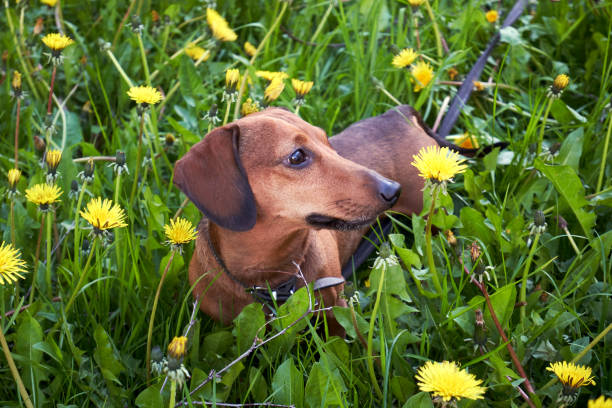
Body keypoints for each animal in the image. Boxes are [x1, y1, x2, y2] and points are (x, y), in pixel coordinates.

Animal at [172, 105, 478, 334]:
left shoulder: (338, 313)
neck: (271, 280)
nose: (393, 190)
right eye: (297, 156)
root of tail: (397, 112)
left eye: (328, 141)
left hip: (430, 217)